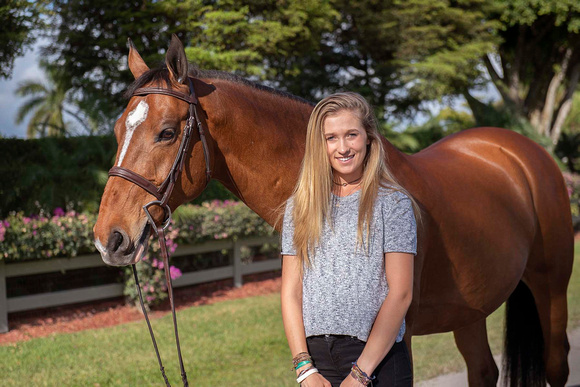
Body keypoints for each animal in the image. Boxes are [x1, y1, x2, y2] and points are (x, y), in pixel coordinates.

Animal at [93, 34, 572, 386]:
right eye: (117, 129)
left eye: (167, 132)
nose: (108, 238)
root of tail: (521, 150)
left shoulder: (396, 330)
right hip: (470, 308)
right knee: (484, 370)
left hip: (550, 288)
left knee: (556, 363)